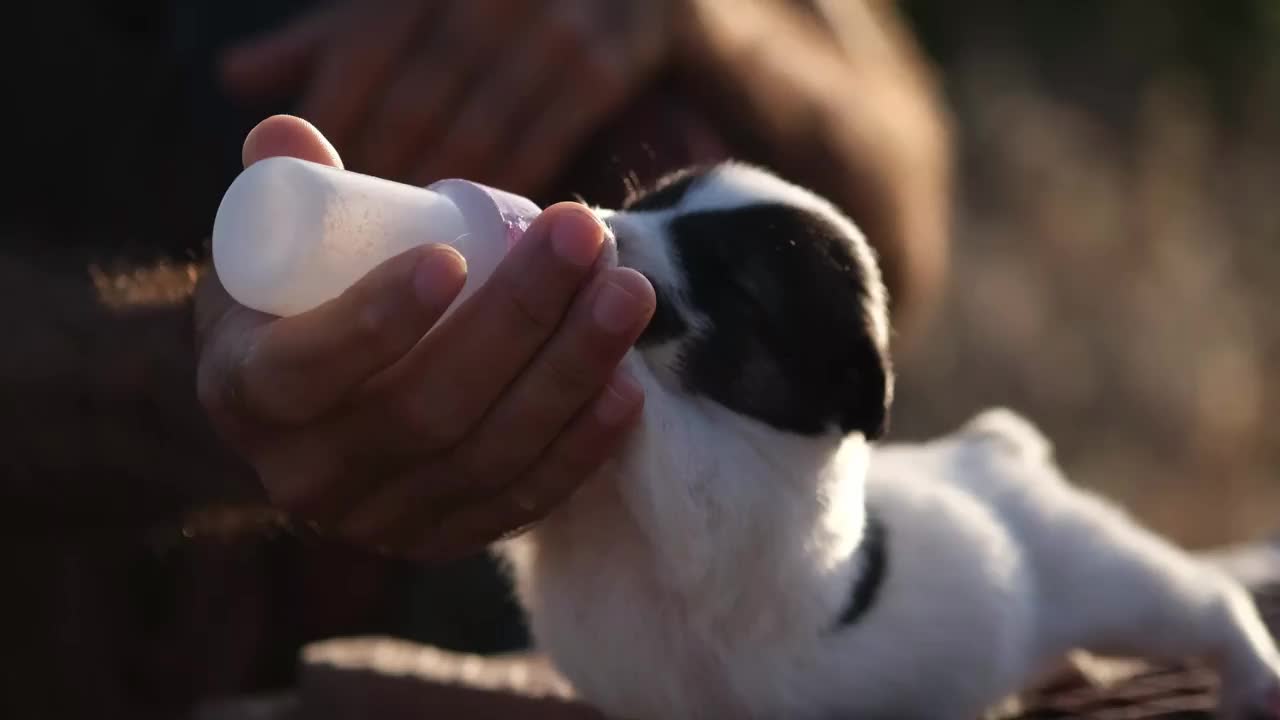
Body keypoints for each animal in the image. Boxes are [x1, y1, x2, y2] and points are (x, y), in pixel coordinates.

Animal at [496, 163, 1280, 717]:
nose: (609, 224)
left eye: (733, 283)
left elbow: (684, 461)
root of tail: (998, 452)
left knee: (1203, 600)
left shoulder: (735, 522)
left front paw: (609, 320)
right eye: (656, 198)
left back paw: (1253, 676)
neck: (753, 425)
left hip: (1106, 573)